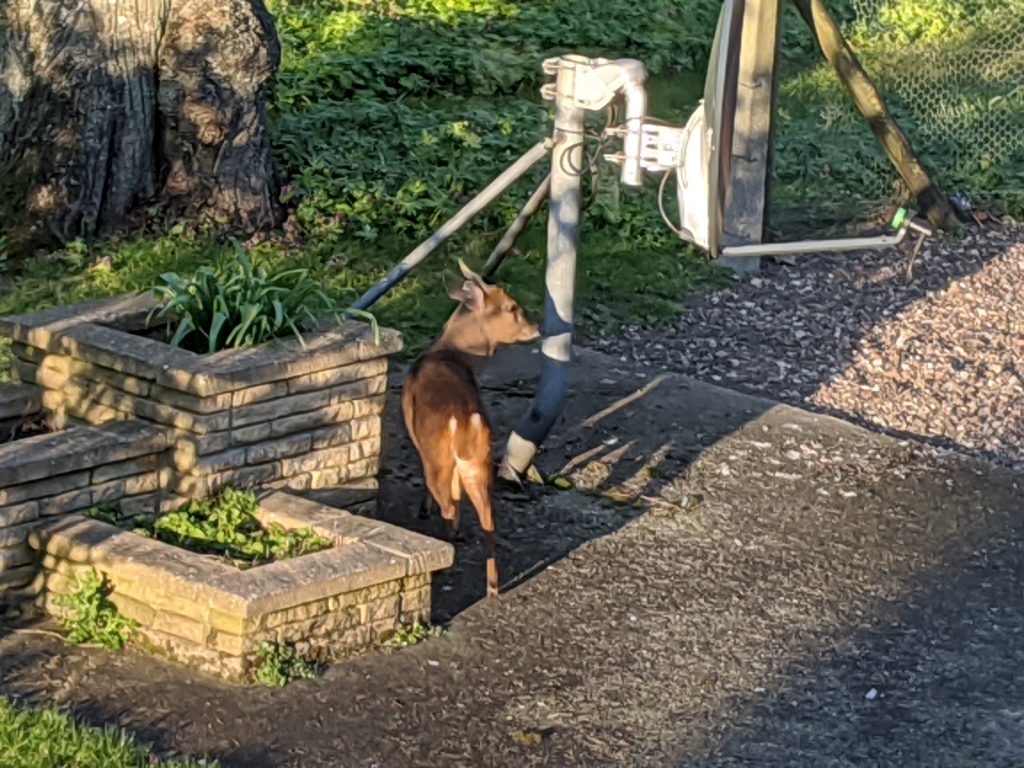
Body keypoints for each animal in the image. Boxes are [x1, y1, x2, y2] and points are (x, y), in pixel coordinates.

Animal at [401, 262, 544, 598]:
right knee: (488, 520)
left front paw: (424, 509)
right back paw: (492, 586)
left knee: (448, 505)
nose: (537, 327)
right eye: (512, 307)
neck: (451, 352)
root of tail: (466, 422)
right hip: (479, 464)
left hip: (441, 459)